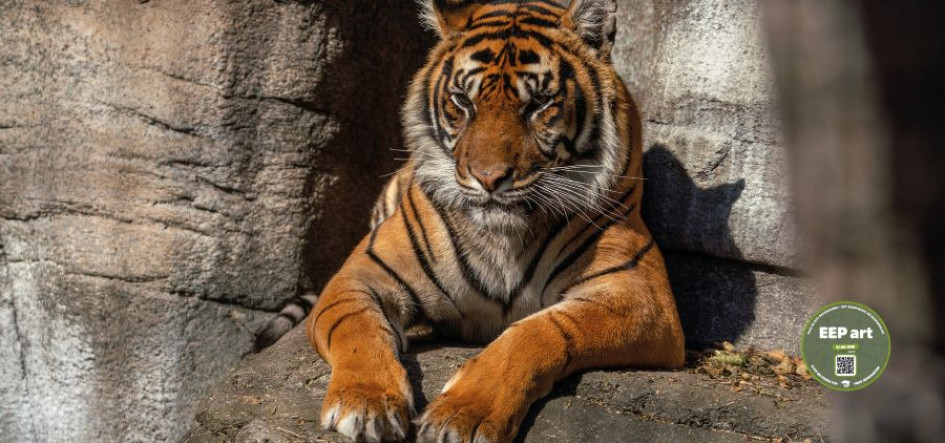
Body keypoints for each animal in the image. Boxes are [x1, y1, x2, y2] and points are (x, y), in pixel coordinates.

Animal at [300, 0, 685, 441]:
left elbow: (537, 332)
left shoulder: (642, 296)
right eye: (462, 102)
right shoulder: (360, 274)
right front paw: (366, 402)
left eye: (539, 104)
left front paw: (462, 415)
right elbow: (356, 328)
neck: (502, 235)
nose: (488, 179)